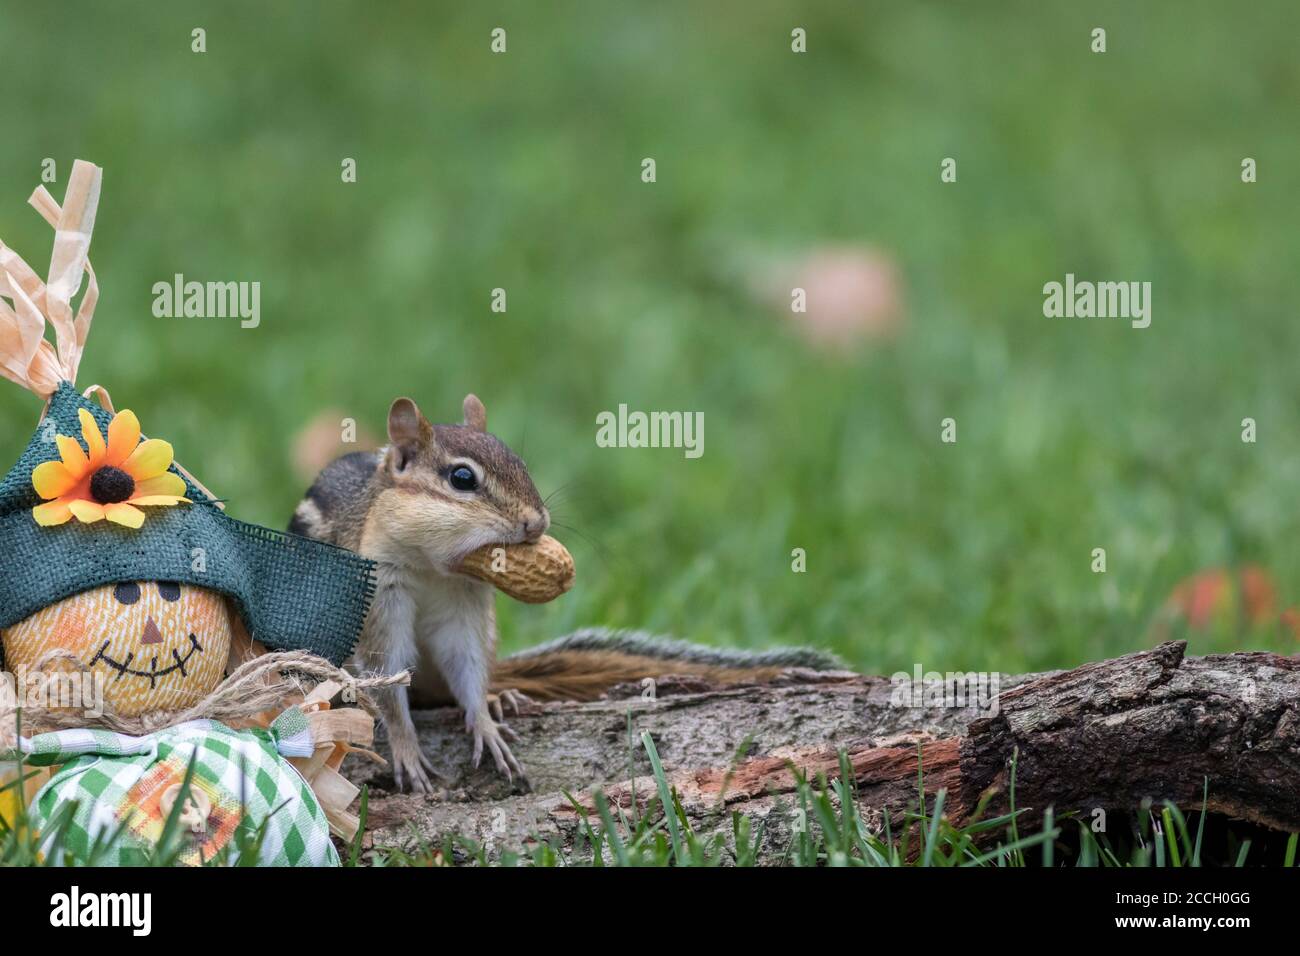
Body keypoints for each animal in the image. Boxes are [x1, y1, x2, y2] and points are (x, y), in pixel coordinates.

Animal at [290, 394, 844, 792]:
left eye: (521, 462)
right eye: (462, 477)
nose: (537, 523)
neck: (434, 570)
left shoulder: (465, 604)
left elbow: (466, 663)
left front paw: (485, 723)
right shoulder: (381, 595)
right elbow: (386, 677)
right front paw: (406, 750)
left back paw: (503, 695)